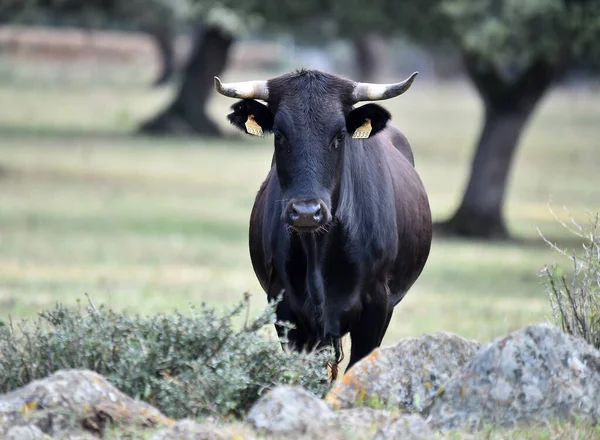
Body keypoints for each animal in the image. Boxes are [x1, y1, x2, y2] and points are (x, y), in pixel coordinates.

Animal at [216, 69, 432, 374]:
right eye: (279, 133)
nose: (307, 212)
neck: (318, 248)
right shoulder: (285, 307)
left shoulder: (378, 305)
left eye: (339, 134)